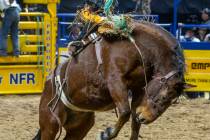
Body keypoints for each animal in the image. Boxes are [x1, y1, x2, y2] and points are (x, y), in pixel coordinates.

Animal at [33, 21, 186, 139]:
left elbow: (134, 121)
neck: (137, 47)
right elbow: (125, 112)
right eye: (164, 96)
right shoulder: (114, 81)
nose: (145, 118)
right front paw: (106, 134)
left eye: (172, 102)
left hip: (80, 127)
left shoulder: (138, 89)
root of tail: (49, 82)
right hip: (51, 123)